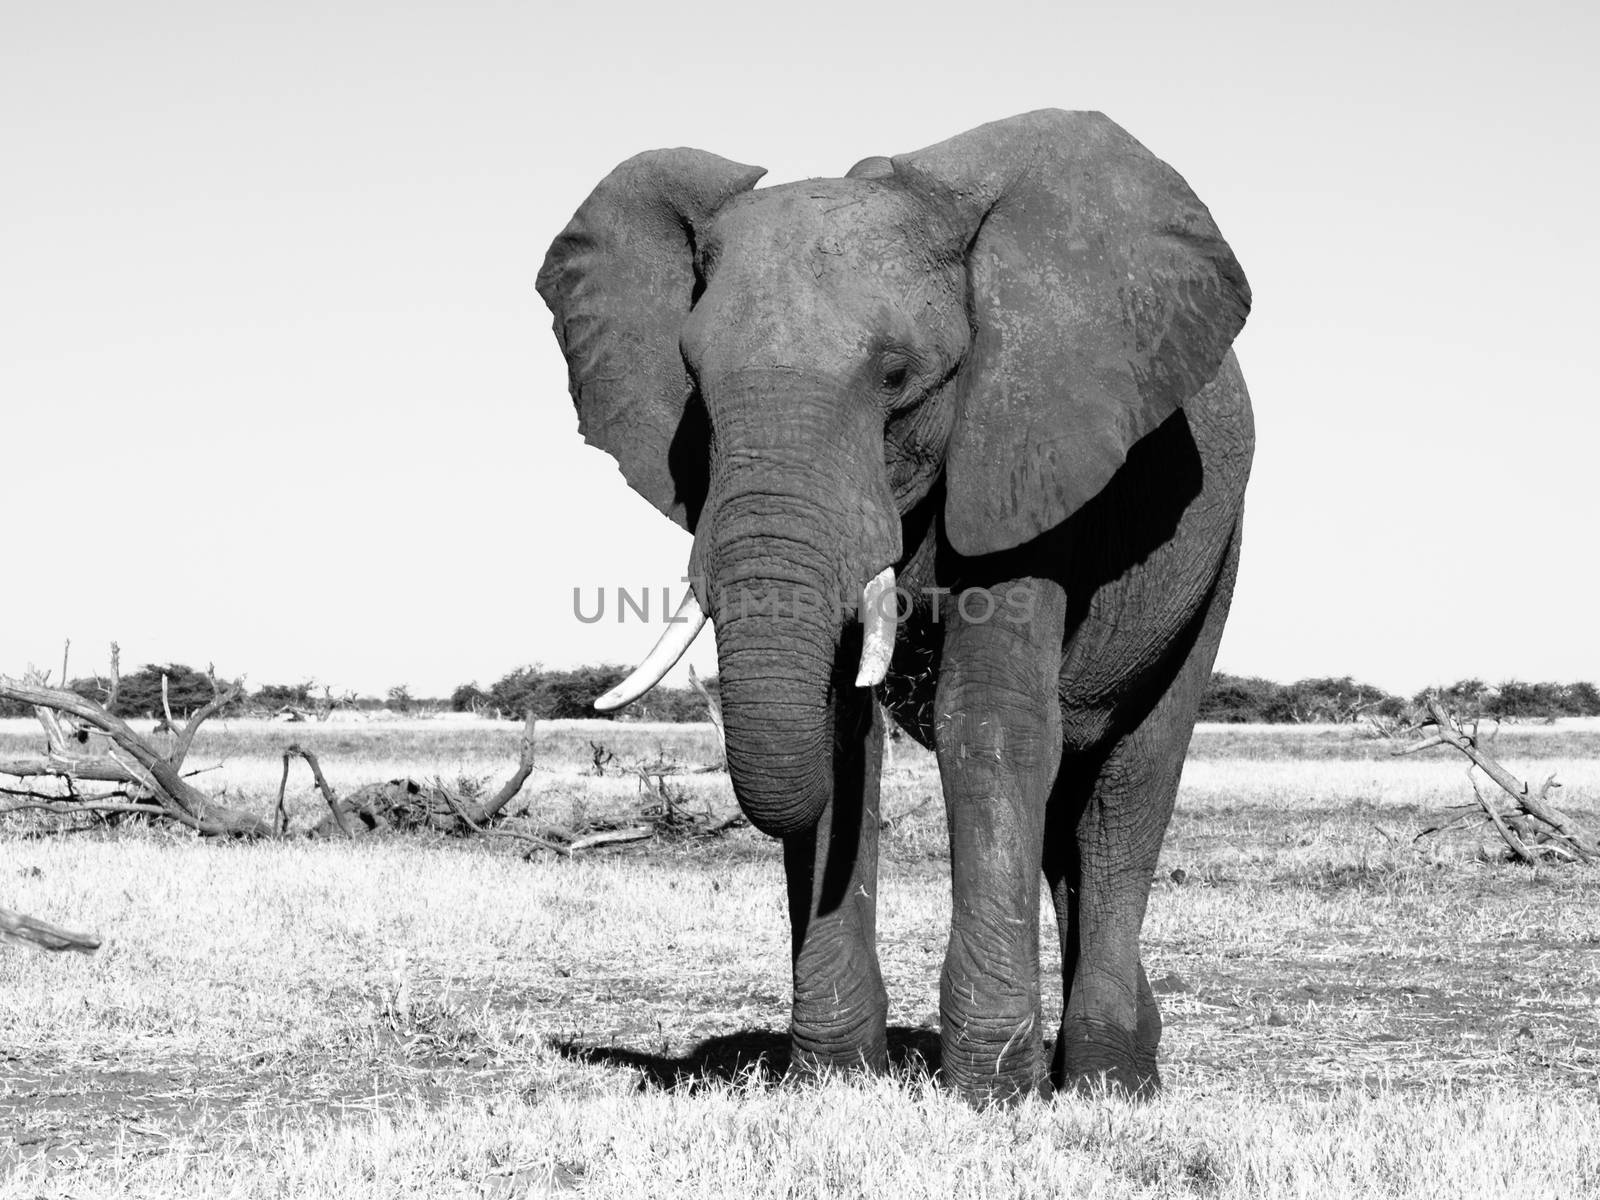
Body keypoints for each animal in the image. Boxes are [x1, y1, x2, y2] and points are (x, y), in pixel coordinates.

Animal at [537, 112, 1248, 1107]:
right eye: (692, 381)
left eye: (896, 375)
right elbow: (840, 736)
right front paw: (837, 1082)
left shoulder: (1026, 446)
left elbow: (988, 727)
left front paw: (992, 1094)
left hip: (1213, 550)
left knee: (1130, 785)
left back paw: (1110, 1081)